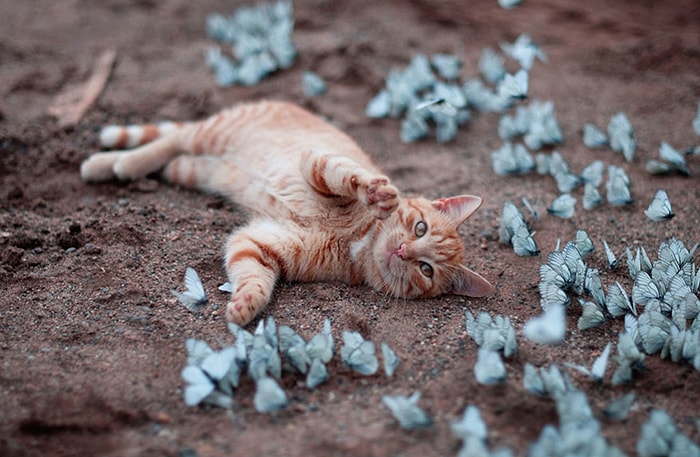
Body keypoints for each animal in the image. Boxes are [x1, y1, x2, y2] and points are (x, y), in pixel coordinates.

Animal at [80, 101, 492, 326]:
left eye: (426, 270)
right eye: (420, 228)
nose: (404, 251)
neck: (357, 239)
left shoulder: (260, 244)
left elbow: (253, 277)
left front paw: (246, 304)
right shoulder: (317, 161)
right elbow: (347, 175)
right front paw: (377, 192)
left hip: (197, 169)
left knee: (174, 158)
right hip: (213, 134)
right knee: (170, 139)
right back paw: (112, 163)